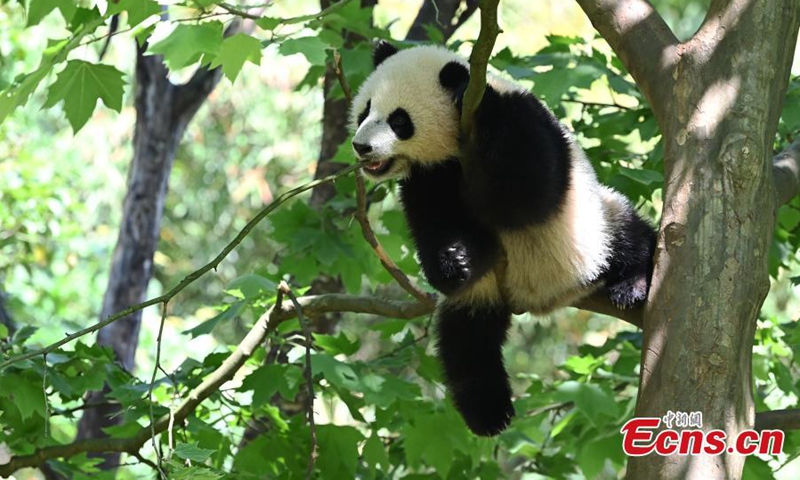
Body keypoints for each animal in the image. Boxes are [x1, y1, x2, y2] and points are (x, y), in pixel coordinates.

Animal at [349, 41, 656, 436]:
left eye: (399, 121)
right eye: (365, 111)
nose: (361, 147)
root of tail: (545, 298)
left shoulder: (524, 122)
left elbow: (523, 194)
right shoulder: (428, 178)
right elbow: (438, 222)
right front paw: (454, 260)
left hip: (592, 227)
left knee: (629, 235)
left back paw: (631, 284)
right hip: (483, 294)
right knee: (467, 341)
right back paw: (488, 413)